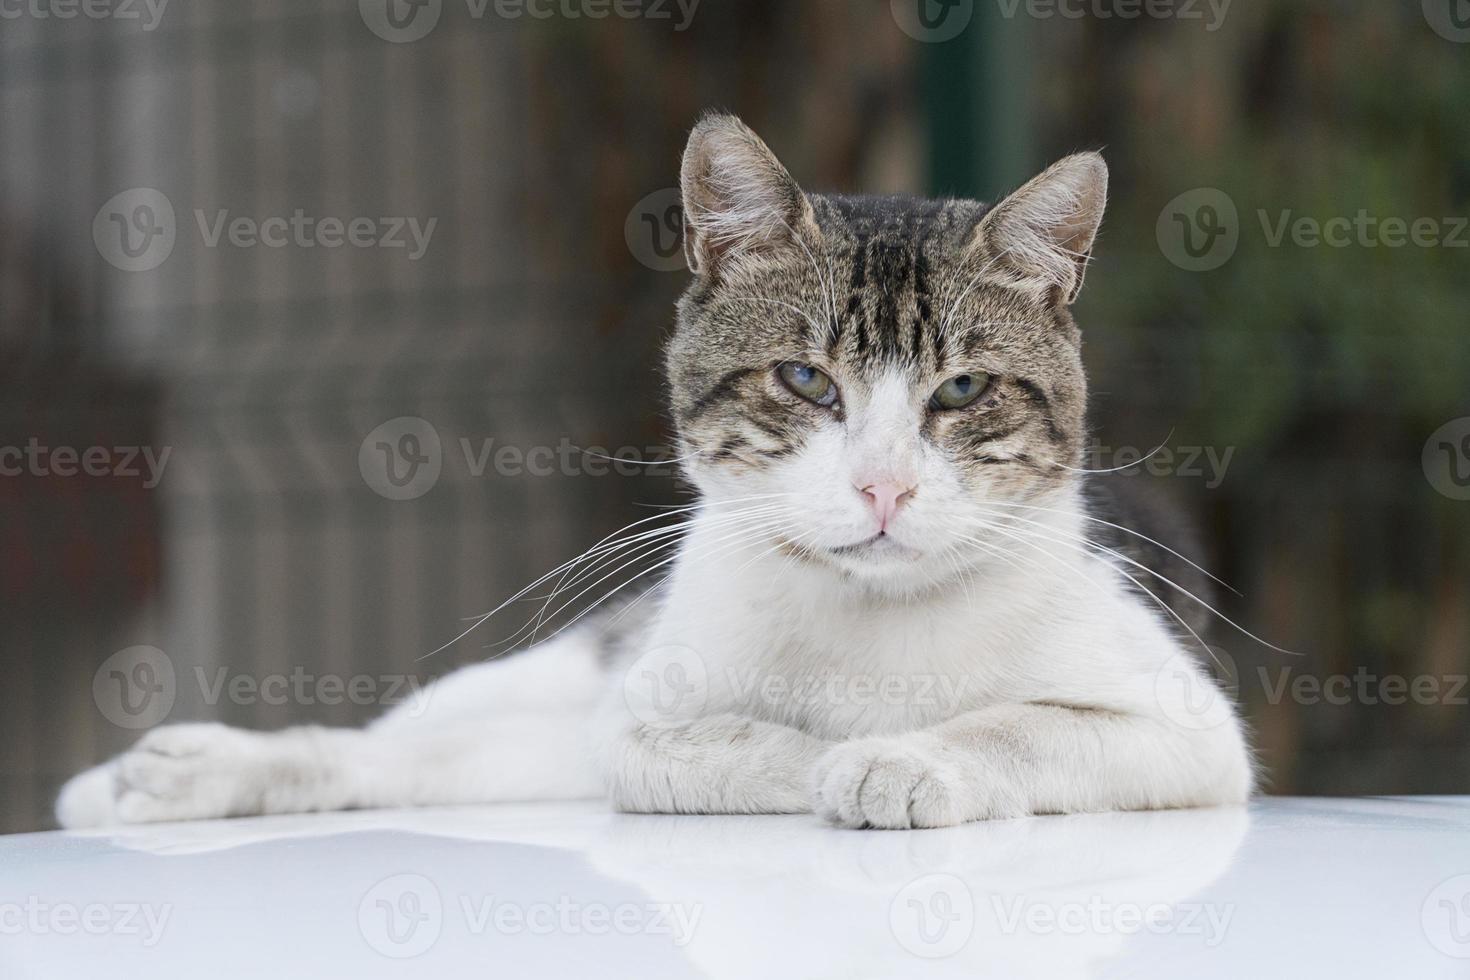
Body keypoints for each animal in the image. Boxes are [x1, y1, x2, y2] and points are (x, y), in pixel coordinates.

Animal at [57, 115, 1252, 834]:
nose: (884, 488)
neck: (868, 620)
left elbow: (1027, 721)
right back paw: (162, 775)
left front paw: (901, 760)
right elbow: (668, 747)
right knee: (405, 742)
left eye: (960, 391)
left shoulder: (1192, 731)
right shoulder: (642, 703)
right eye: (805, 378)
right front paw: (826, 752)